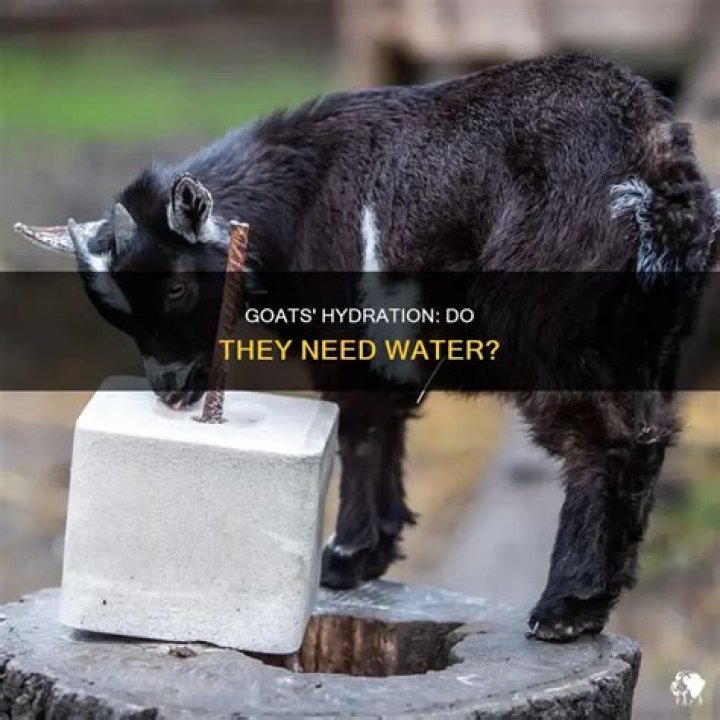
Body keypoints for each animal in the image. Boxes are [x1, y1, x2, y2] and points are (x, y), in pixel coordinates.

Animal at [15, 54, 719, 641]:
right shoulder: (380, 351)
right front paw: (366, 557)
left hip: (549, 326)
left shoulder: (346, 337)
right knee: (648, 436)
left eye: (179, 289)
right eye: (115, 313)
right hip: (652, 334)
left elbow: (357, 428)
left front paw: (344, 558)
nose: (169, 389)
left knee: (600, 441)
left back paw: (566, 608)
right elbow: (381, 426)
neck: (295, 197)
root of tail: (650, 162)